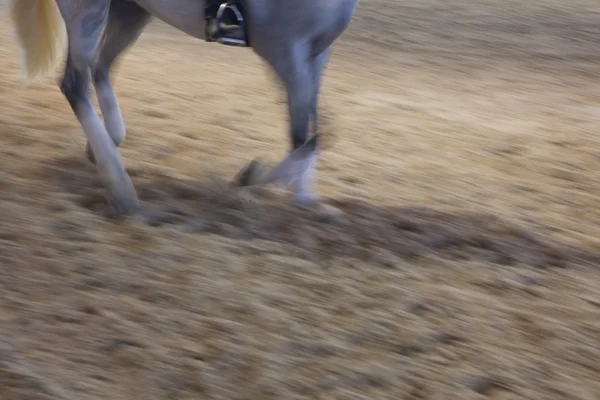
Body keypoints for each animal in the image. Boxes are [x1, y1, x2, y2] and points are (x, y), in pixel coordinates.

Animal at [9, 0, 358, 214]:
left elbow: (312, 123)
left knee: (101, 67)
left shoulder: (315, 54)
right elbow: (305, 135)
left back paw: (106, 147)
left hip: (130, 10)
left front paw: (306, 200)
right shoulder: (284, 50)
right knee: (76, 82)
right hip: (89, 9)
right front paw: (250, 176)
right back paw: (123, 191)